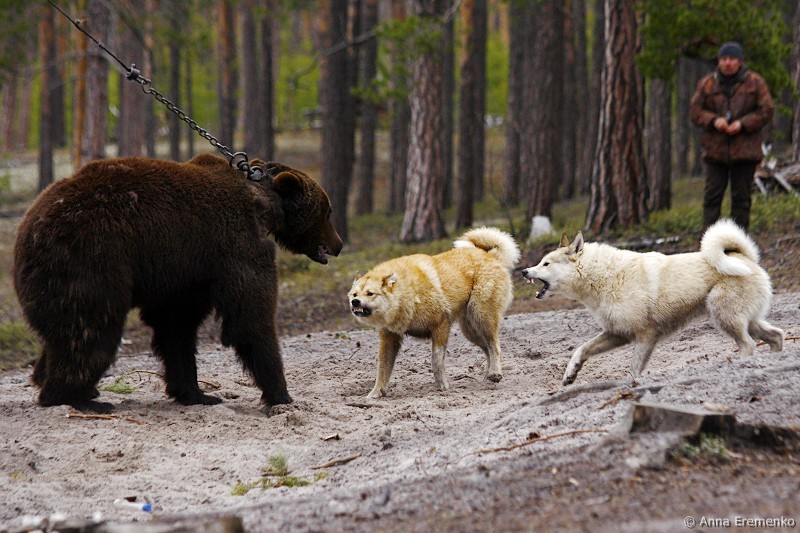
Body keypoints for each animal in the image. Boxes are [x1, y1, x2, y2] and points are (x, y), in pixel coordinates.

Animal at [13, 154, 343, 412]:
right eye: (328, 212)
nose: (338, 245)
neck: (264, 203)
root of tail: (27, 229)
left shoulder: (187, 269)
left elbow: (176, 325)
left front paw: (197, 393)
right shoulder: (234, 246)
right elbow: (250, 317)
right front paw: (281, 394)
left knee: (65, 332)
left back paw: (59, 382)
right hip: (90, 258)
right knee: (92, 328)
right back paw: (77, 397)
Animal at [349, 227, 520, 397]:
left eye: (370, 293)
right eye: (354, 294)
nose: (354, 302)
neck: (408, 292)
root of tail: (490, 255)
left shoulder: (441, 326)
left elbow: (436, 361)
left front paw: (443, 386)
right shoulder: (389, 338)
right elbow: (382, 369)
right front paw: (374, 394)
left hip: (483, 318)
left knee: (494, 346)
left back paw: (495, 373)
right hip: (470, 330)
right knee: (487, 349)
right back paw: (488, 376)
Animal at [521, 219, 784, 385]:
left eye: (545, 263)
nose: (524, 271)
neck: (603, 276)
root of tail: (745, 257)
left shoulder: (646, 336)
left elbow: (633, 370)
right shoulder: (617, 333)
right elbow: (582, 349)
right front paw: (571, 373)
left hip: (725, 318)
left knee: (748, 346)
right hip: (748, 321)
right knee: (777, 336)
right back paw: (774, 361)